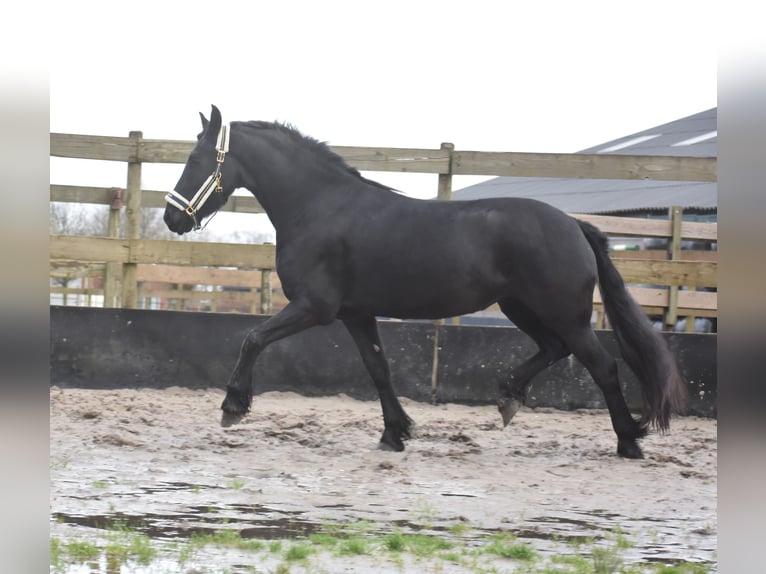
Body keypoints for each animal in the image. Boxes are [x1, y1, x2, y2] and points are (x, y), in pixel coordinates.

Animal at [164, 106, 688, 462]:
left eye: (196, 157)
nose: (172, 218)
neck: (321, 207)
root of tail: (574, 225)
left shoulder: (315, 307)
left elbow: (253, 337)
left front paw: (233, 406)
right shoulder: (356, 314)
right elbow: (379, 370)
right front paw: (395, 433)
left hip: (564, 314)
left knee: (603, 366)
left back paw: (629, 441)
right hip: (521, 307)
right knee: (554, 349)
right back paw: (507, 399)